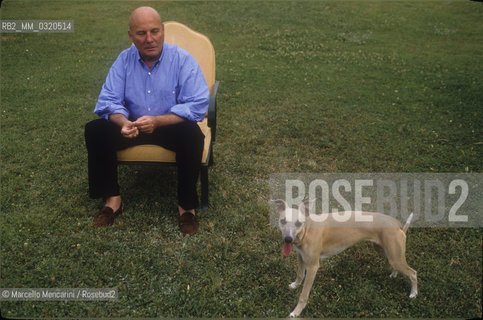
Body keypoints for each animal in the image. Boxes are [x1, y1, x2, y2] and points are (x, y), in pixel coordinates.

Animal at [272, 200, 420, 318]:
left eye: (298, 223)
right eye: (283, 221)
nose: (288, 239)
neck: (307, 229)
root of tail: (398, 225)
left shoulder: (313, 266)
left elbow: (304, 295)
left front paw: (296, 312)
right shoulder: (301, 257)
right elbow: (299, 274)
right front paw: (295, 285)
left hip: (394, 256)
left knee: (413, 273)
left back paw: (414, 293)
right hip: (386, 252)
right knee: (396, 266)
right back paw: (394, 274)